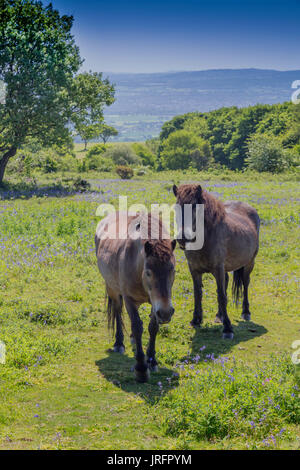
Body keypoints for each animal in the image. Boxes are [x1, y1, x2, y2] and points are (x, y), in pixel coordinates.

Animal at [95, 212, 176, 382]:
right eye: (148, 272)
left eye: (172, 270)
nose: (166, 313)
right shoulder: (129, 300)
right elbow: (137, 326)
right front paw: (141, 369)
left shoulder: (156, 304)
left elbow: (153, 327)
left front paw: (152, 360)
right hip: (113, 289)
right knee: (118, 312)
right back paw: (119, 343)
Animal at [173, 183, 260, 338]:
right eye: (176, 207)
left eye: (194, 206)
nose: (182, 238)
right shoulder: (194, 270)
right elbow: (197, 294)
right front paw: (196, 320)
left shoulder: (218, 268)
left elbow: (221, 296)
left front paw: (227, 328)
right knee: (226, 282)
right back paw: (220, 315)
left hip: (249, 263)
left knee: (245, 283)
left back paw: (245, 312)